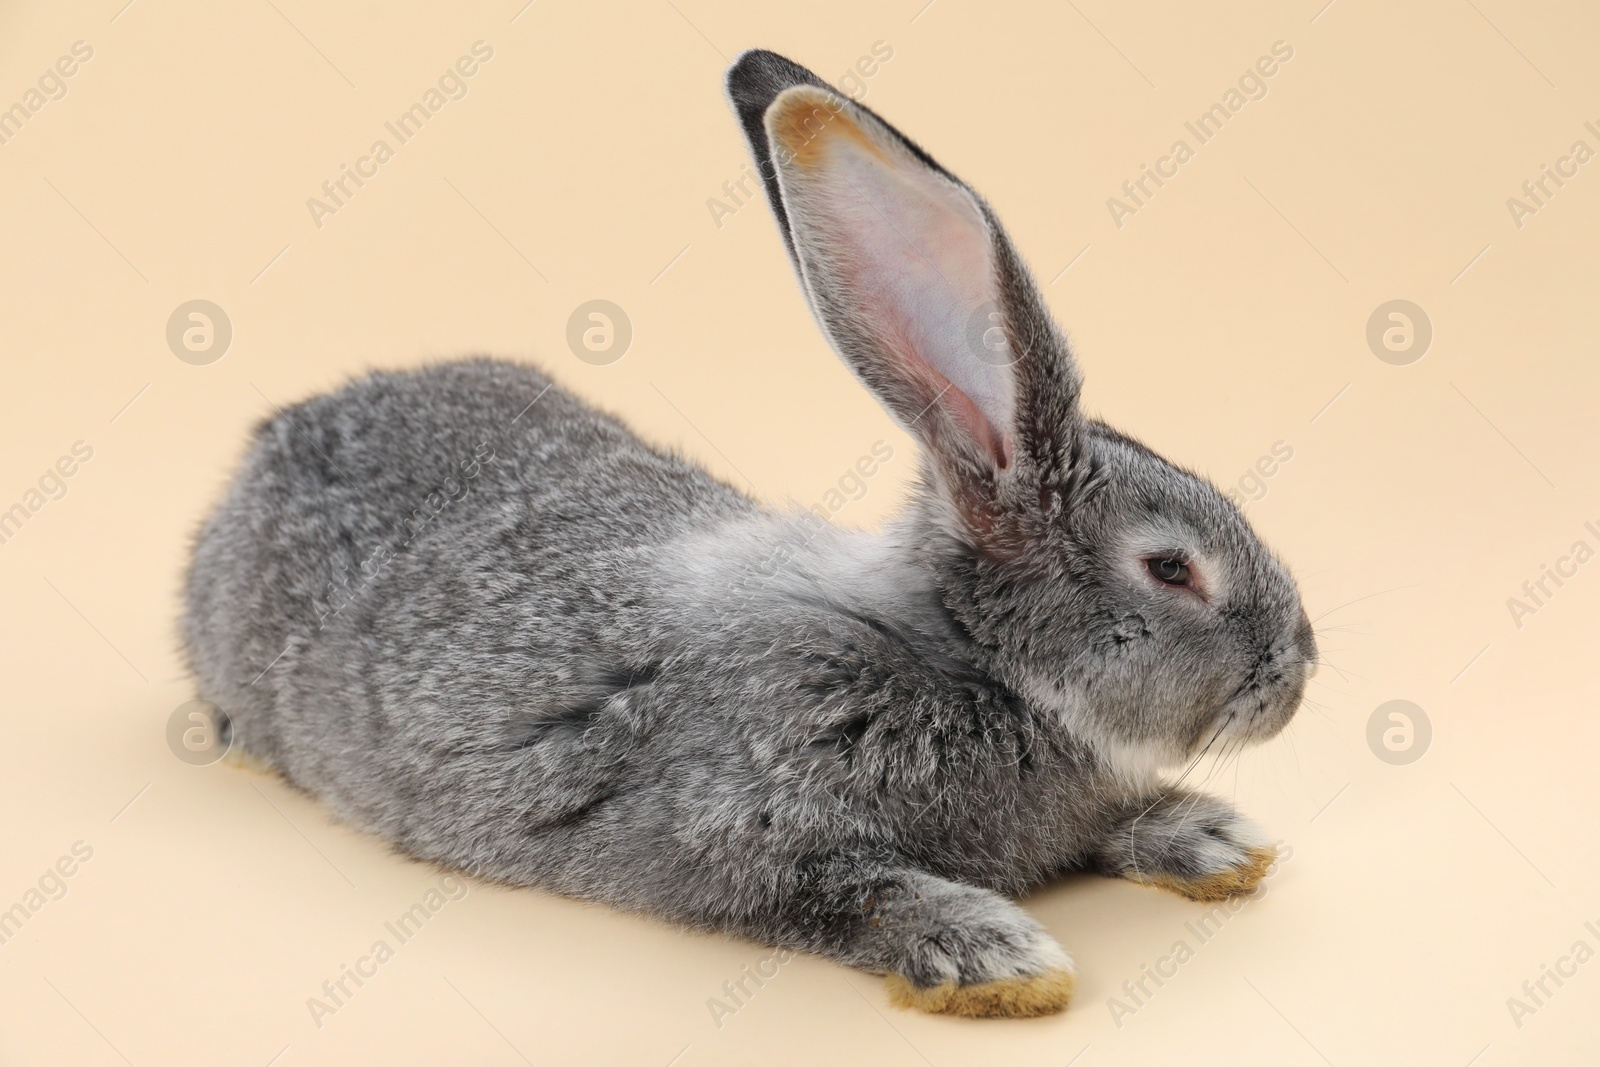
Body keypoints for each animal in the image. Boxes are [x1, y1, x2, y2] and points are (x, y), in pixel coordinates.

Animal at [184, 47, 1312, 1017]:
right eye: (1170, 567)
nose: (1298, 669)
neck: (963, 657)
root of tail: (274, 438)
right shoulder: (743, 839)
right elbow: (856, 892)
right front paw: (995, 956)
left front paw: (1213, 839)